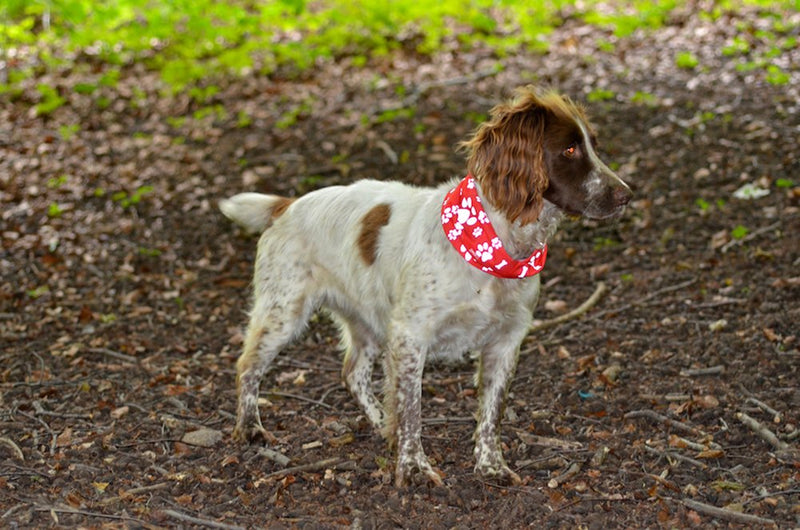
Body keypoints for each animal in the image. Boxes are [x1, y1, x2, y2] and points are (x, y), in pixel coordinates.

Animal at [220, 84, 632, 484]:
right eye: (569, 149)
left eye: (594, 145)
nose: (627, 195)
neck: (495, 244)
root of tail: (286, 206)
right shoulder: (410, 335)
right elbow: (411, 410)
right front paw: (413, 467)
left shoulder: (506, 341)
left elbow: (490, 412)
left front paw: (490, 465)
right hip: (283, 313)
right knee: (247, 365)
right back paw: (250, 427)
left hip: (368, 321)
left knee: (352, 372)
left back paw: (379, 423)